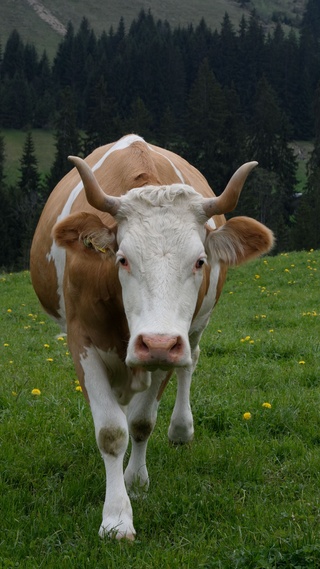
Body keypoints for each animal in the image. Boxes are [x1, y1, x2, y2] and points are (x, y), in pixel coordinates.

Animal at [30, 132, 274, 536]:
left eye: (200, 261)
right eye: (122, 259)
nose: (156, 341)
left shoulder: (169, 348)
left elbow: (142, 422)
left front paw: (135, 482)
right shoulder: (82, 341)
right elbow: (111, 432)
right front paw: (116, 517)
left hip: (193, 330)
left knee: (190, 363)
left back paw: (181, 430)